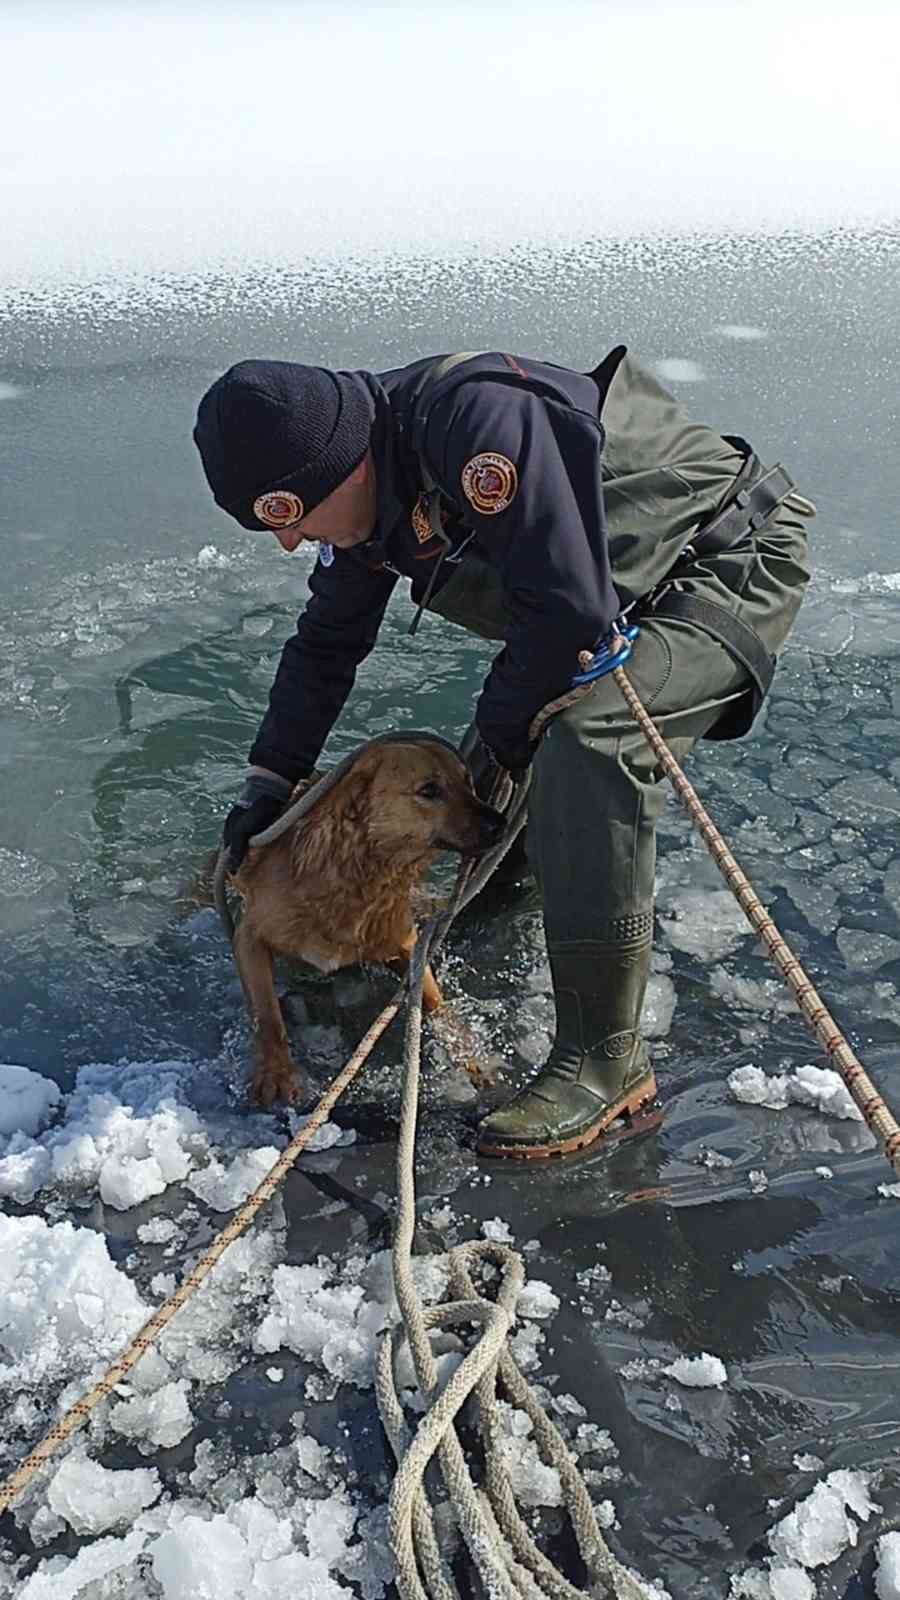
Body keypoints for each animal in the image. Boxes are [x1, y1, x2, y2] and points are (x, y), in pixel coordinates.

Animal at [227, 742, 499, 1107]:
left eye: (468, 781)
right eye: (429, 790)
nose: (500, 823)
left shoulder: (406, 943)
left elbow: (434, 1000)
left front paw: (467, 1052)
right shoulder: (249, 936)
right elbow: (268, 1015)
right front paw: (276, 1072)